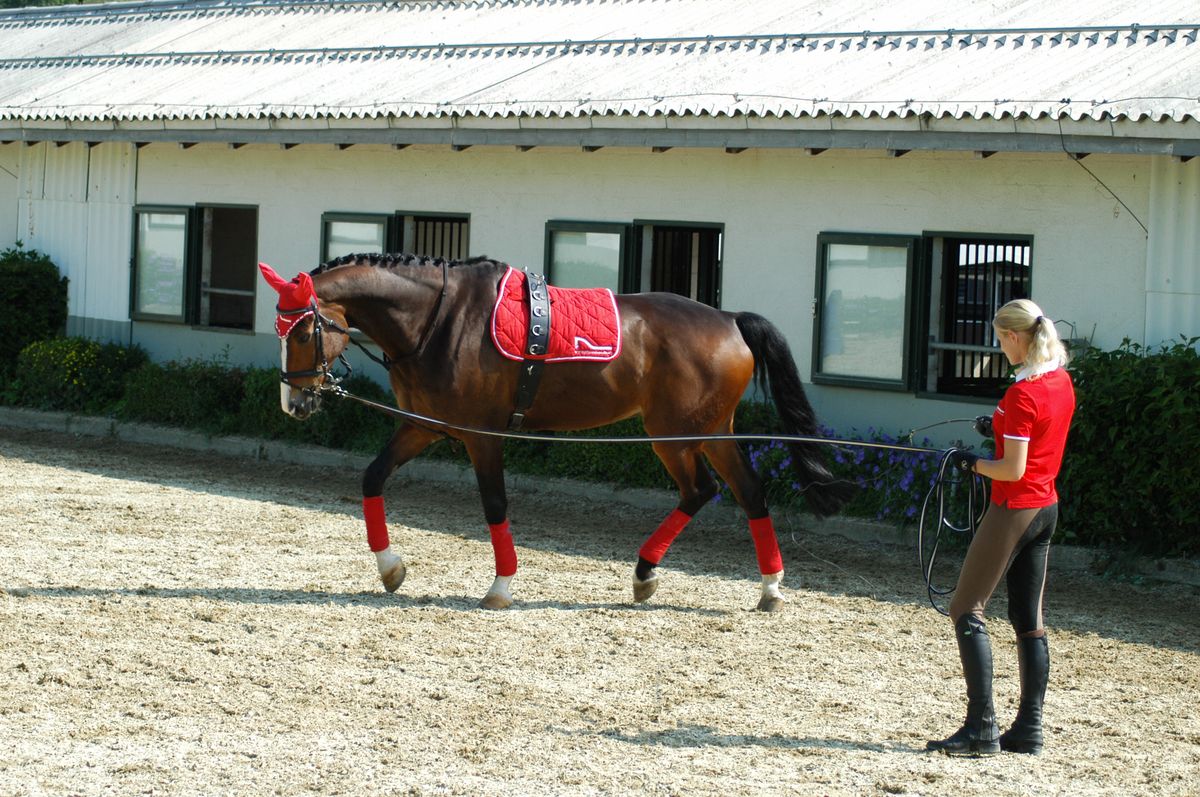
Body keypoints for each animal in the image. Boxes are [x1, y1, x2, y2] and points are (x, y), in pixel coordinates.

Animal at [260, 253, 854, 609]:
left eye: (304, 331)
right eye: (279, 331)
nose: (294, 404)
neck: (438, 321)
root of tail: (729, 319)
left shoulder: (481, 436)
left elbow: (494, 505)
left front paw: (500, 587)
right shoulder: (423, 426)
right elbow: (372, 478)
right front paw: (391, 569)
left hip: (677, 433)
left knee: (706, 489)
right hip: (705, 431)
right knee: (739, 491)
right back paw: (742, 584)